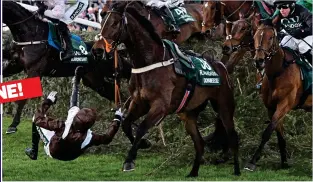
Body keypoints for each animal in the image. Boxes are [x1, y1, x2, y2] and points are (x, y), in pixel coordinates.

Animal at [1, 1, 132, 134]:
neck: (32, 34)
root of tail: (112, 49)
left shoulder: (35, 70)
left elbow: (23, 98)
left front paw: (13, 125)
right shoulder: (14, 65)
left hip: (112, 71)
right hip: (96, 82)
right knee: (118, 95)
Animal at [94, 1, 239, 176]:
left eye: (115, 23)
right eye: (102, 20)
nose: (97, 49)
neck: (151, 61)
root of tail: (222, 67)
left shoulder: (160, 106)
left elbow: (141, 127)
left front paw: (129, 160)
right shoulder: (139, 102)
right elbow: (126, 123)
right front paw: (144, 144)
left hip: (224, 106)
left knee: (232, 136)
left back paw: (237, 170)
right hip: (188, 114)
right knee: (199, 143)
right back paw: (193, 173)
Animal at [244, 20, 312, 171]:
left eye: (270, 37)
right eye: (255, 36)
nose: (259, 61)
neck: (278, 71)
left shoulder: (284, 104)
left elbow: (267, 132)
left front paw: (252, 161)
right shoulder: (271, 107)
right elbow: (279, 134)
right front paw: (284, 162)